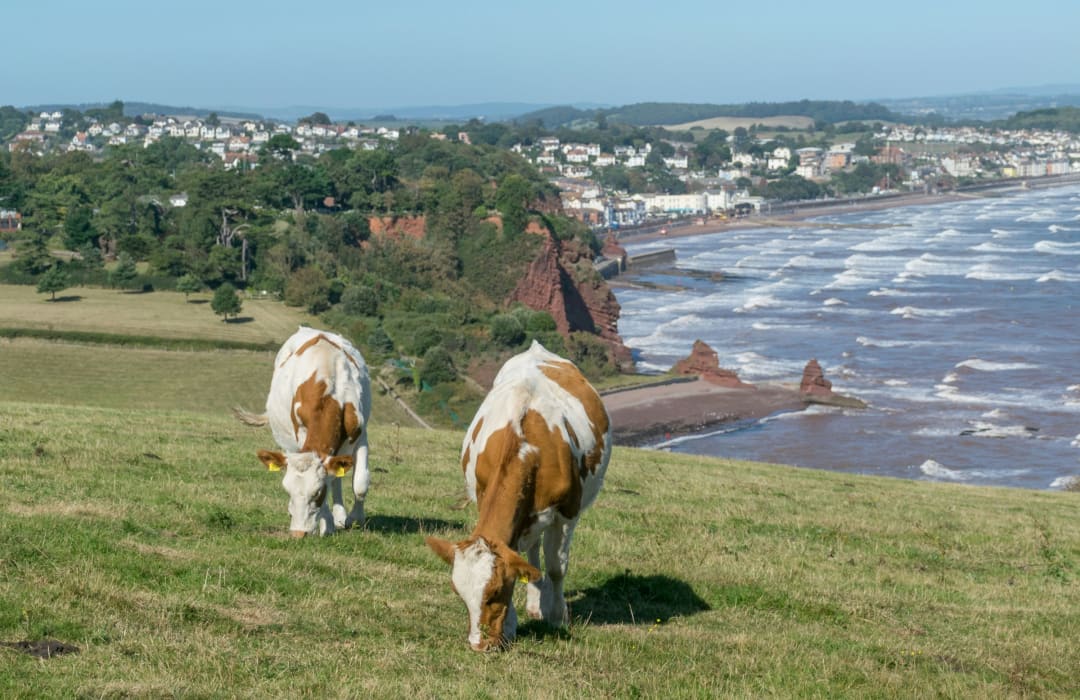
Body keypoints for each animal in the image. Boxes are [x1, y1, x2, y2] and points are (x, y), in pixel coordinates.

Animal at [236, 326, 371, 535]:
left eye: (317, 492)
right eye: (287, 491)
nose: (298, 533)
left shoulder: (360, 435)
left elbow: (360, 482)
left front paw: (355, 519)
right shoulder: (301, 436)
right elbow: (332, 480)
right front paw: (326, 525)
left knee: (337, 479)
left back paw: (340, 517)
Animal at [423, 339, 609, 652]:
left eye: (496, 590)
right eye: (459, 593)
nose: (479, 644)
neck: (525, 443)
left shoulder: (567, 514)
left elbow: (557, 567)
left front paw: (558, 617)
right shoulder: (484, 497)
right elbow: (519, 560)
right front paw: (512, 625)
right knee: (531, 554)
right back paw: (534, 604)